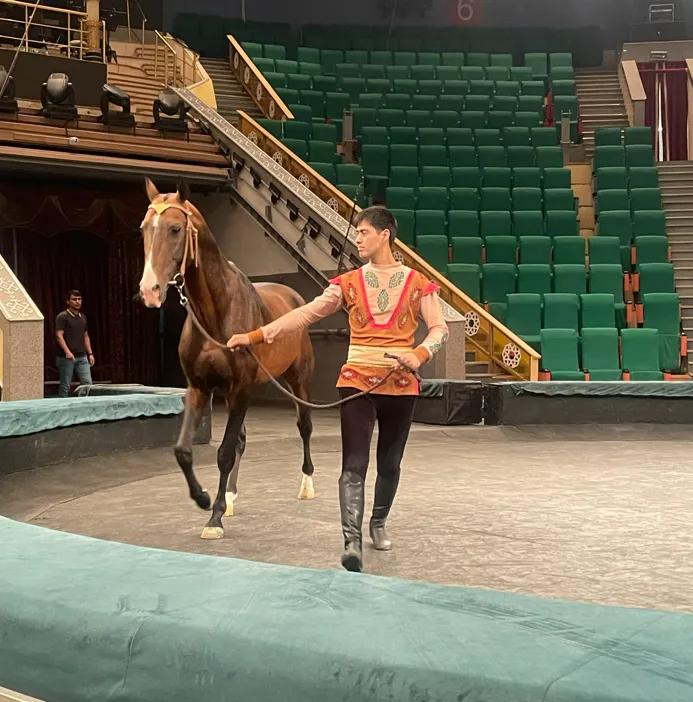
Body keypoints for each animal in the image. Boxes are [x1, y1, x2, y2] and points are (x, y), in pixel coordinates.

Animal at [138, 179, 316, 540]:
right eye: (144, 229)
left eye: (175, 229)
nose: (149, 290)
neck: (214, 313)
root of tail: (294, 296)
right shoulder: (199, 387)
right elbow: (184, 451)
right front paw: (205, 499)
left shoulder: (240, 389)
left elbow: (223, 452)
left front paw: (215, 517)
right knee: (242, 442)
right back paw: (231, 495)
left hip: (297, 379)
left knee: (304, 426)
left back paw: (306, 484)